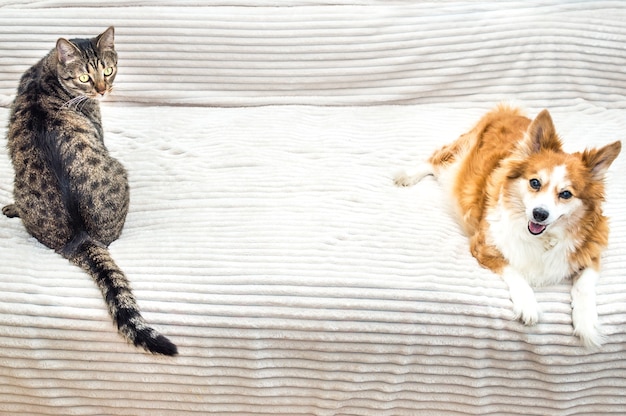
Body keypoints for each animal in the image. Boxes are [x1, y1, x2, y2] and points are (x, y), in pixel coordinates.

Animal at [3, 27, 177, 356]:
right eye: (84, 77)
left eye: (108, 71)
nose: (102, 90)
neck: (47, 74)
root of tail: (80, 237)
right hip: (120, 169)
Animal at [394, 105, 620, 346]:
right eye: (535, 183)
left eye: (566, 194)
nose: (539, 214)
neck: (544, 238)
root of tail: (510, 112)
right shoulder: (484, 244)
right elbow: (514, 271)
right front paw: (528, 305)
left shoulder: (592, 249)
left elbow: (584, 285)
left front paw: (586, 323)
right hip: (459, 155)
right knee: (436, 160)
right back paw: (407, 176)